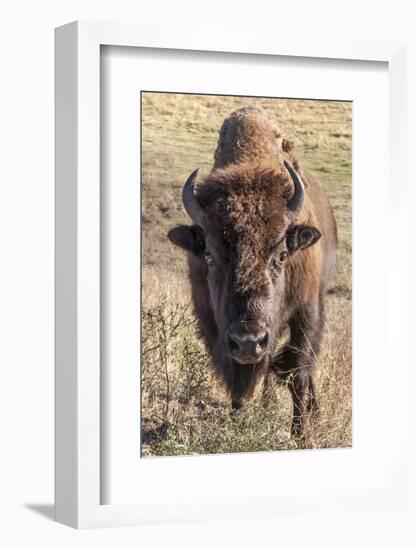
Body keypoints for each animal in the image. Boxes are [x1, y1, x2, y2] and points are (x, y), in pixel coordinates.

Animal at [167, 104, 336, 440]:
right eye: (209, 255)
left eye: (282, 255)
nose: (248, 341)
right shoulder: (213, 323)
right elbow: (237, 381)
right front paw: (238, 422)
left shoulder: (307, 311)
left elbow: (300, 372)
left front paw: (300, 435)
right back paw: (268, 406)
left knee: (304, 369)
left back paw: (313, 412)